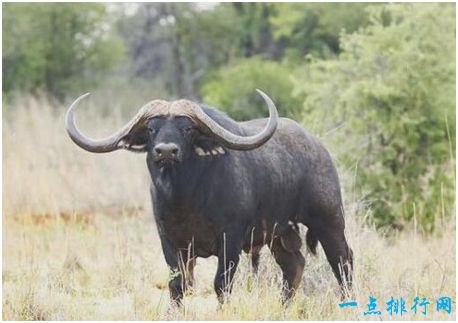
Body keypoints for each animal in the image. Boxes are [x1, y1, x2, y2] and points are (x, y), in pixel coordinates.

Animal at [64, 90, 352, 306]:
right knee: (294, 265)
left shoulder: (231, 241)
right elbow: (177, 284)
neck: (186, 200)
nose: (166, 151)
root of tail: (319, 148)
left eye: (188, 128)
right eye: (151, 129)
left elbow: (221, 284)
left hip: (328, 220)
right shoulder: (170, 241)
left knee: (342, 260)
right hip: (279, 234)